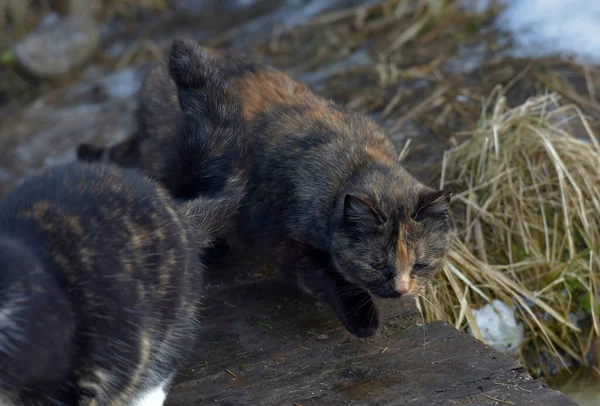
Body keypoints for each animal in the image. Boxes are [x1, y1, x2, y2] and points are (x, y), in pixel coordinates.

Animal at [75, 39, 452, 340]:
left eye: (420, 264)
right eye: (378, 265)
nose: (401, 289)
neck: (353, 163)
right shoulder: (288, 243)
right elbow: (333, 278)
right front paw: (363, 319)